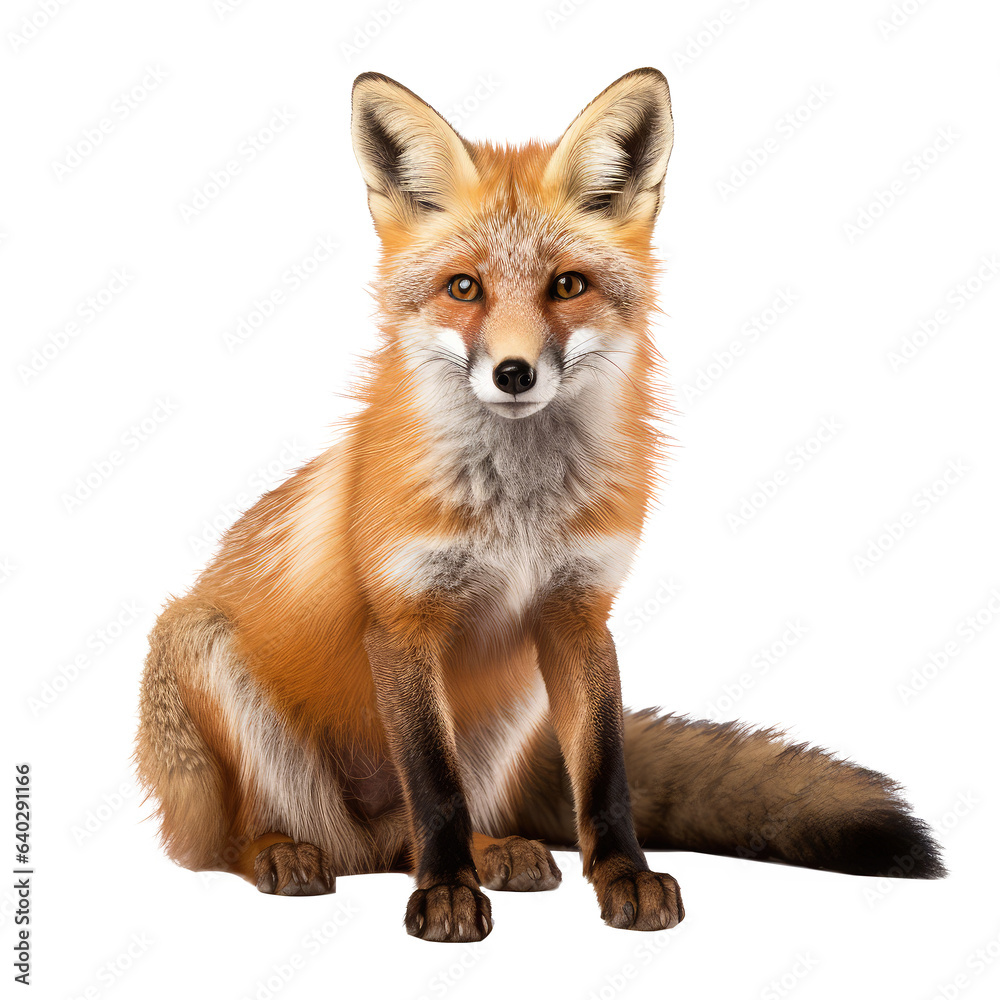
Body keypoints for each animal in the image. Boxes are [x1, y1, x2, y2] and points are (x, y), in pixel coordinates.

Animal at [136, 67, 944, 942]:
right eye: (464, 288)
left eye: (567, 286)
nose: (515, 373)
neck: (518, 514)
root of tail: (352, 837)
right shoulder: (403, 622)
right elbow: (435, 787)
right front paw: (445, 894)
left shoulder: (577, 614)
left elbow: (604, 775)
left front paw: (624, 877)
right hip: (198, 649)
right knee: (230, 841)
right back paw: (284, 853)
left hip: (511, 699)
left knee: (412, 834)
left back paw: (493, 852)